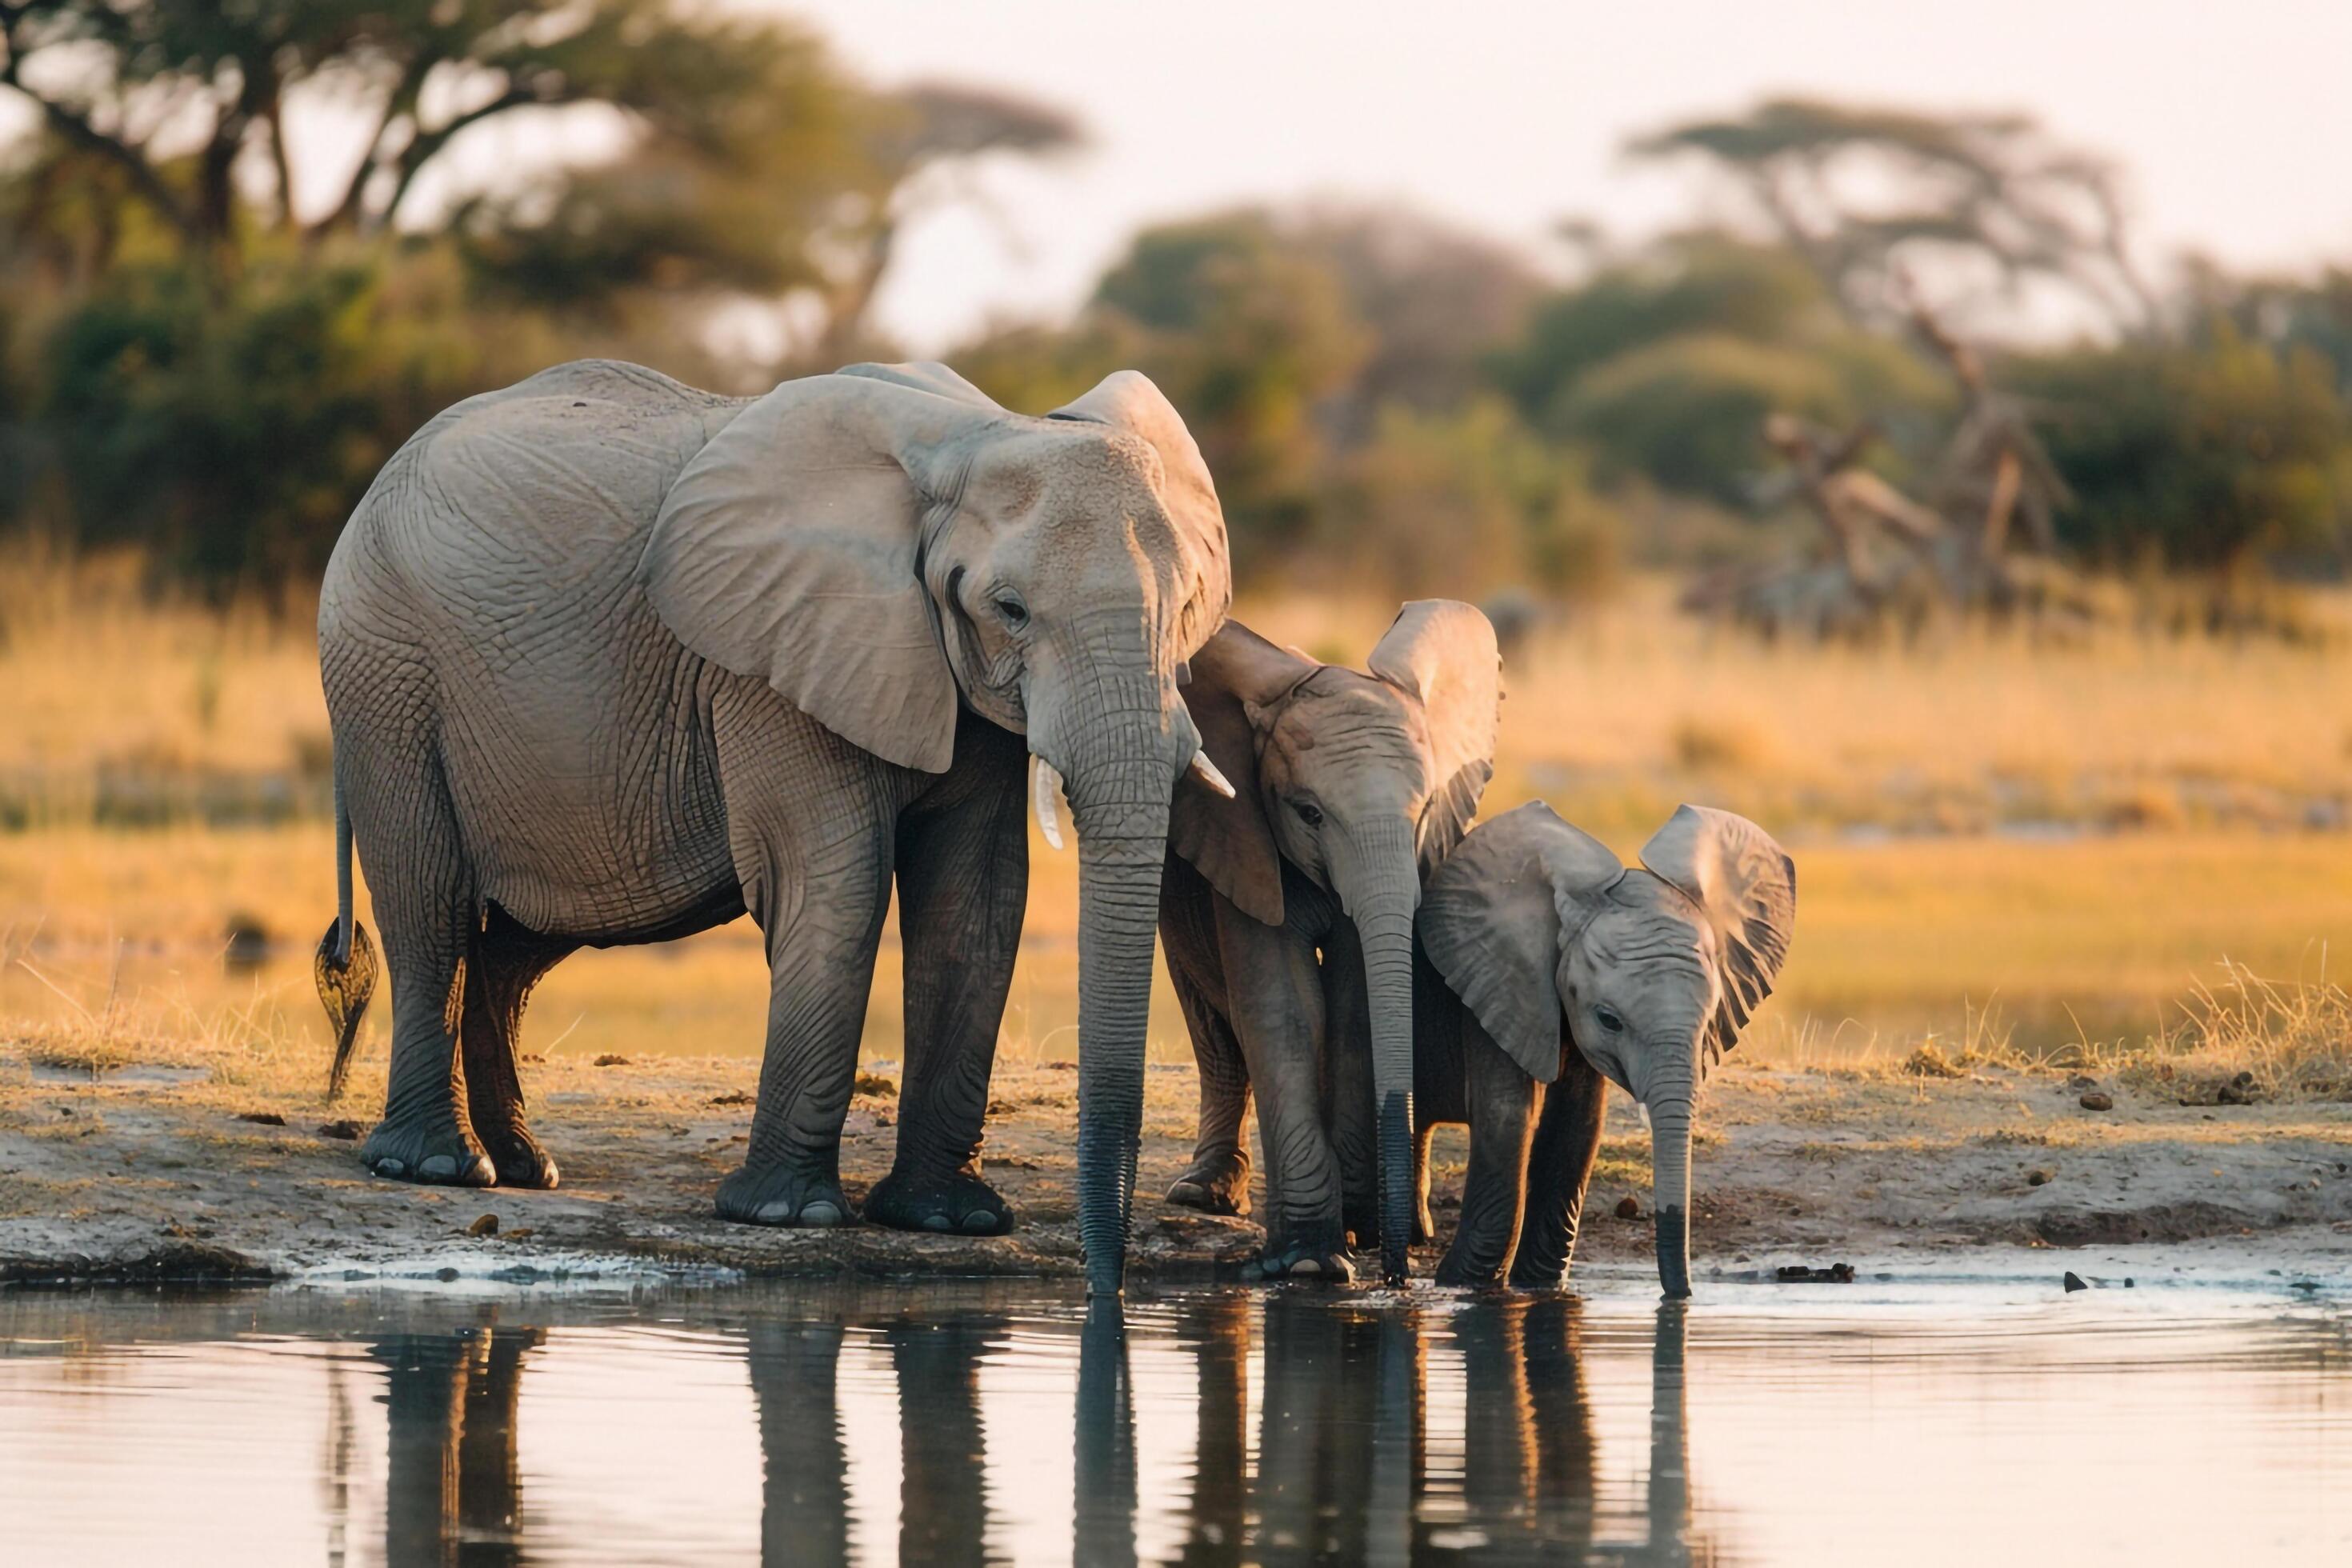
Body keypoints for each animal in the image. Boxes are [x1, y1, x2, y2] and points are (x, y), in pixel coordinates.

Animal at [314, 359, 1232, 1298]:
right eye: (1009, 608)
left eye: (1188, 605)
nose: (1103, 1280)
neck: (977, 434)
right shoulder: (776, 660)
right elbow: (834, 886)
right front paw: (787, 1215)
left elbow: (975, 903)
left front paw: (948, 1221)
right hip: (384, 670)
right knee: (431, 901)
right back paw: (436, 1167)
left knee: (527, 935)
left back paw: (527, 1168)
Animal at [1162, 606, 1505, 1278]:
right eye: (1309, 814)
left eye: (1427, 808)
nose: (1396, 1276)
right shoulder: (1245, 838)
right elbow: (1286, 1008)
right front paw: (1308, 1263)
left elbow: (1354, 1010)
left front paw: (1353, 1229)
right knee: (1208, 1013)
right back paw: (1204, 1196)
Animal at [1392, 803, 1797, 1298]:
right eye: (1609, 1019)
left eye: (1708, 1024)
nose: (1681, 1295)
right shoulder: (1496, 979)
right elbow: (1510, 1116)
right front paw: (1465, 1285)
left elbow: (1579, 1120)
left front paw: (1540, 1286)